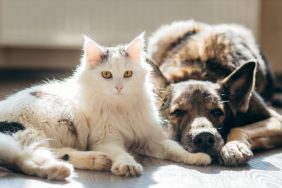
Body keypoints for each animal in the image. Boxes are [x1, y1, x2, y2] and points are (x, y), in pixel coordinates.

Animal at [0, 33, 212, 180]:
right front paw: (127, 165)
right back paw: (92, 162)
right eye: (106, 75)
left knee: (37, 157)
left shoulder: (150, 138)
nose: (119, 87)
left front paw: (198, 157)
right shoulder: (105, 139)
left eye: (128, 74)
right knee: (27, 157)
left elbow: (175, 149)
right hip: (46, 126)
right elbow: (120, 152)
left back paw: (80, 165)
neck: (120, 107)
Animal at [147, 19, 282, 165]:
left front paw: (234, 146)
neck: (199, 74)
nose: (204, 138)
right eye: (177, 112)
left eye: (217, 112)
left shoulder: (277, 120)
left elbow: (238, 128)